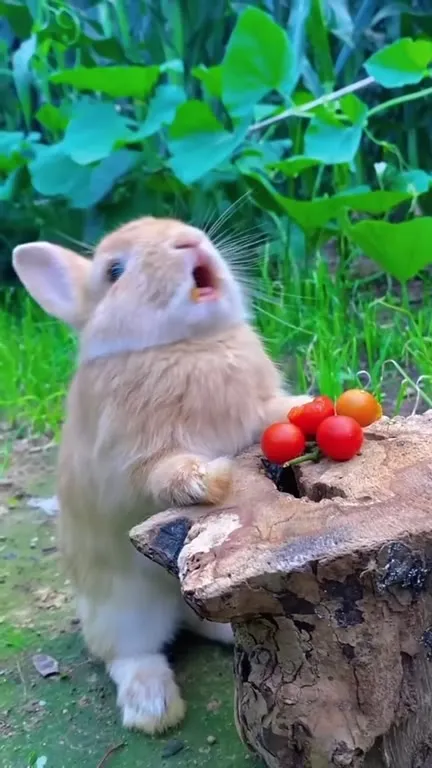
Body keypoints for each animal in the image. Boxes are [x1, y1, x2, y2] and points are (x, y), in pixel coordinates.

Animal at [12, 216, 311, 735]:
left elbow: (278, 412)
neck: (188, 344)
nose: (187, 241)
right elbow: (164, 473)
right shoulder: (132, 461)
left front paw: (322, 405)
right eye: (114, 271)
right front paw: (207, 480)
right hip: (124, 609)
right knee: (129, 655)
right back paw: (153, 710)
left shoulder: (257, 413)